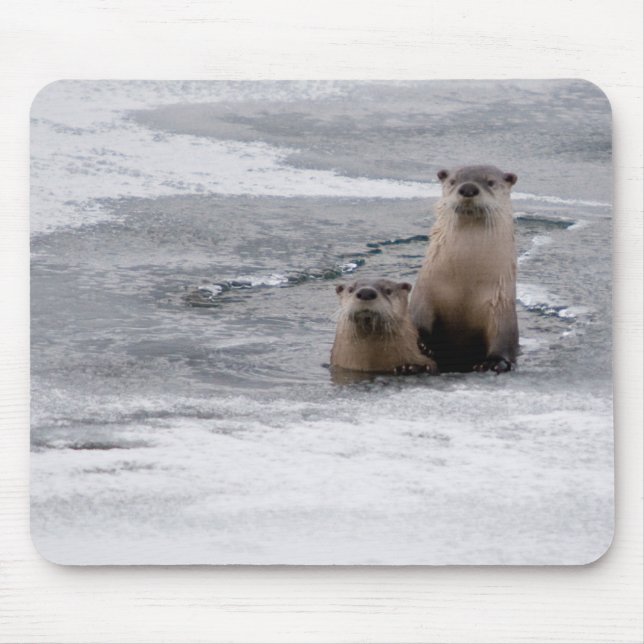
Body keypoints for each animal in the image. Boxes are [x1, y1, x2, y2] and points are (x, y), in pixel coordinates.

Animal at [409, 165, 519, 373]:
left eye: (490, 182)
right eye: (453, 181)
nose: (468, 188)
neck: (464, 287)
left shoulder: (501, 307)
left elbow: (503, 341)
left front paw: (494, 362)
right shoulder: (423, 295)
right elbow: (415, 323)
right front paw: (422, 349)